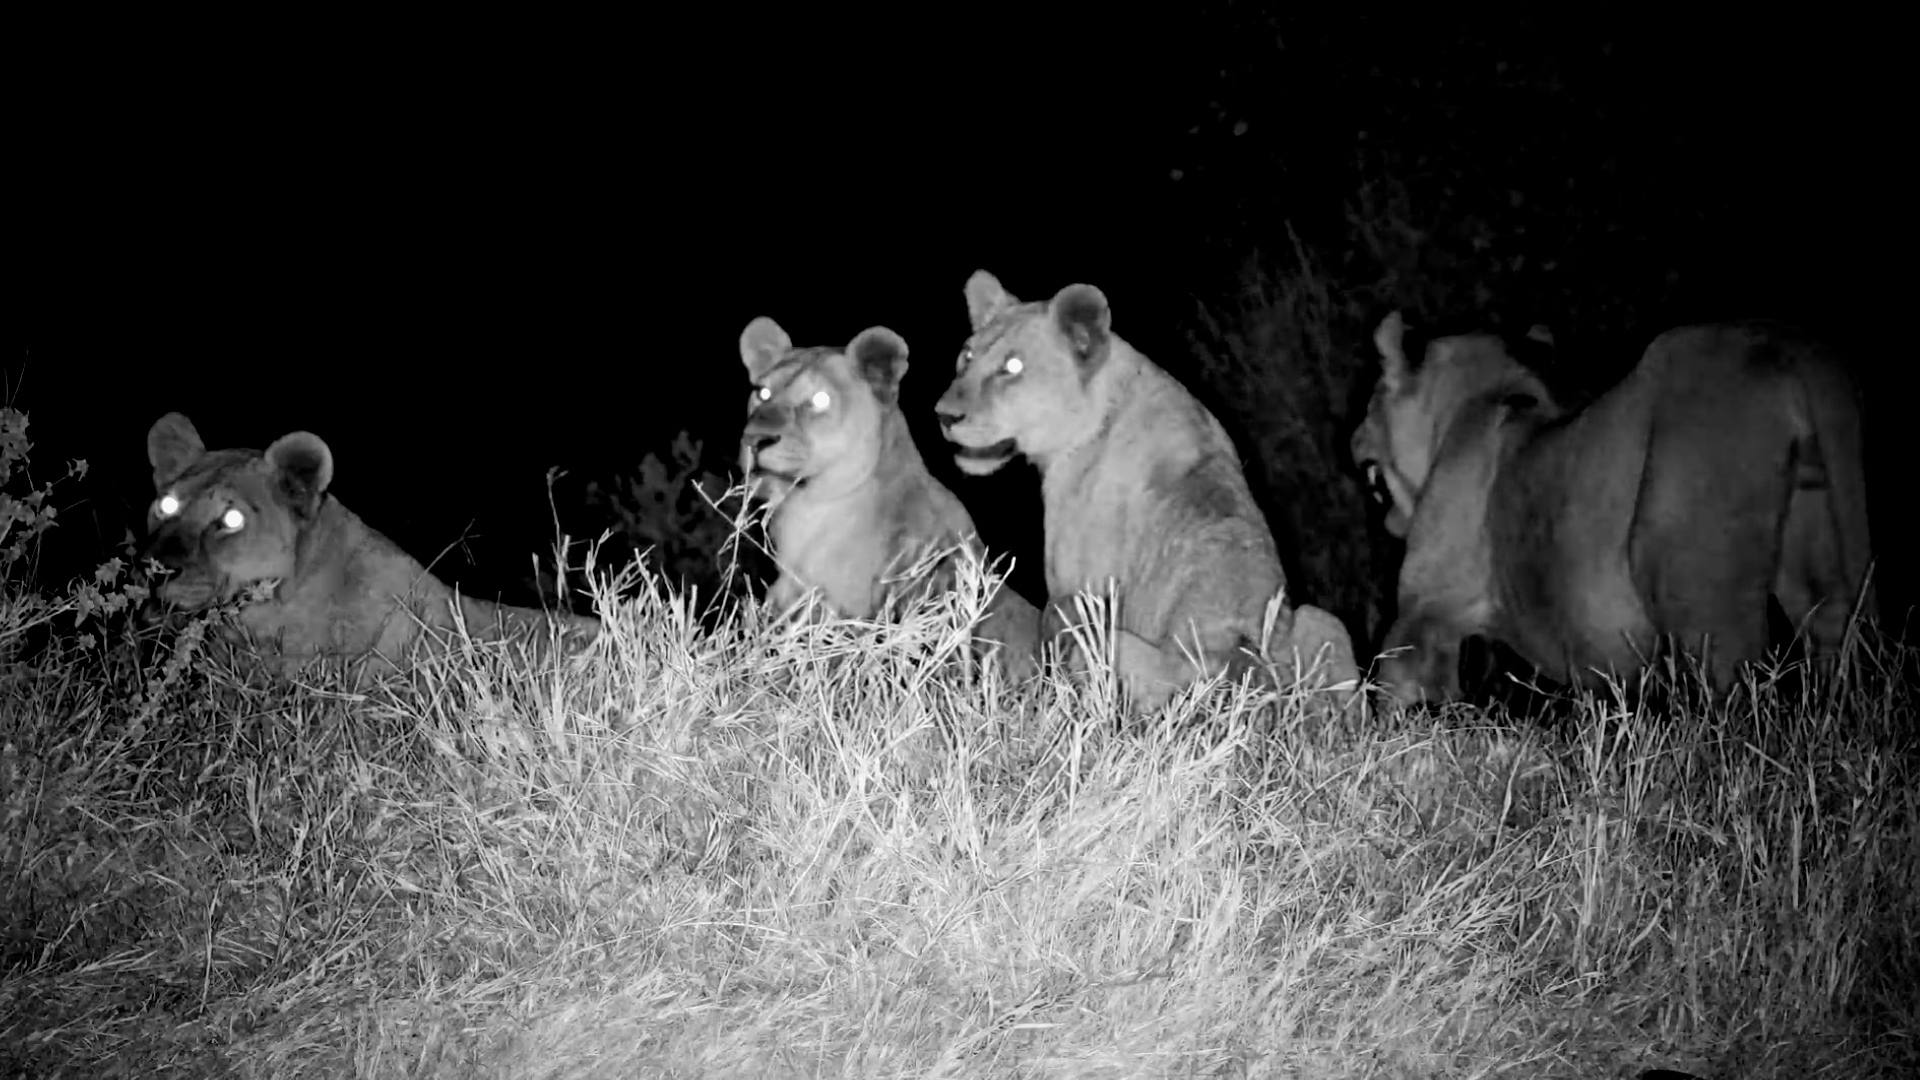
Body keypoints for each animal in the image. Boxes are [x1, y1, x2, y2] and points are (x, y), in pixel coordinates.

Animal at [932, 271, 1360, 714]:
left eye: (1012, 367)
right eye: (966, 356)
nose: (944, 415)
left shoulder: (1074, 587)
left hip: (1113, 644)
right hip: (1325, 622)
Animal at [1351, 312, 1875, 703]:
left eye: (1372, 399)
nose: (1353, 438)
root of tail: (1786, 347)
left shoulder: (1426, 603)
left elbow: (1397, 675)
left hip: (1685, 568)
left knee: (1731, 675)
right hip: (1825, 531)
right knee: (1834, 630)